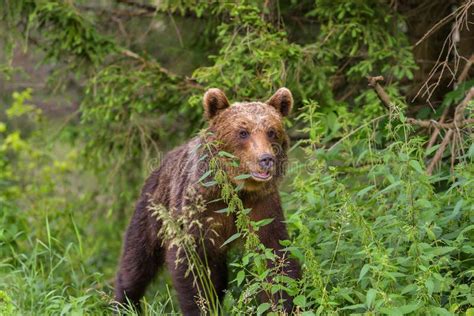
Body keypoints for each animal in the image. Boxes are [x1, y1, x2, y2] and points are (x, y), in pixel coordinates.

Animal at [115, 87, 300, 314]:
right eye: (243, 132)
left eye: (272, 131)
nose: (266, 159)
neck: (235, 190)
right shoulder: (199, 209)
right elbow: (192, 267)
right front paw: (201, 307)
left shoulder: (262, 207)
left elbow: (276, 256)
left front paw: (284, 304)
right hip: (153, 210)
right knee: (137, 260)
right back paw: (124, 303)